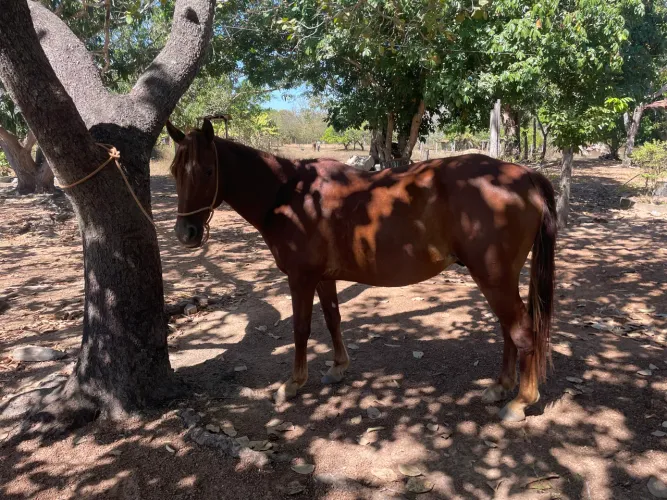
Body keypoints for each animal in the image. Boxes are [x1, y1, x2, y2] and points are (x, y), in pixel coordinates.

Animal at [166, 119, 557, 422]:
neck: (291, 195)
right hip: (496, 279)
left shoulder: (300, 278)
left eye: (208, 171)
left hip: (493, 277)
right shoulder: (323, 278)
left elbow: (301, 329)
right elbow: (332, 319)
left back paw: (520, 401)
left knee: (522, 331)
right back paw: (500, 388)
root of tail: (525, 176)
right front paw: (338, 367)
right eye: (174, 171)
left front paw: (292, 384)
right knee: (508, 330)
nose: (187, 233)